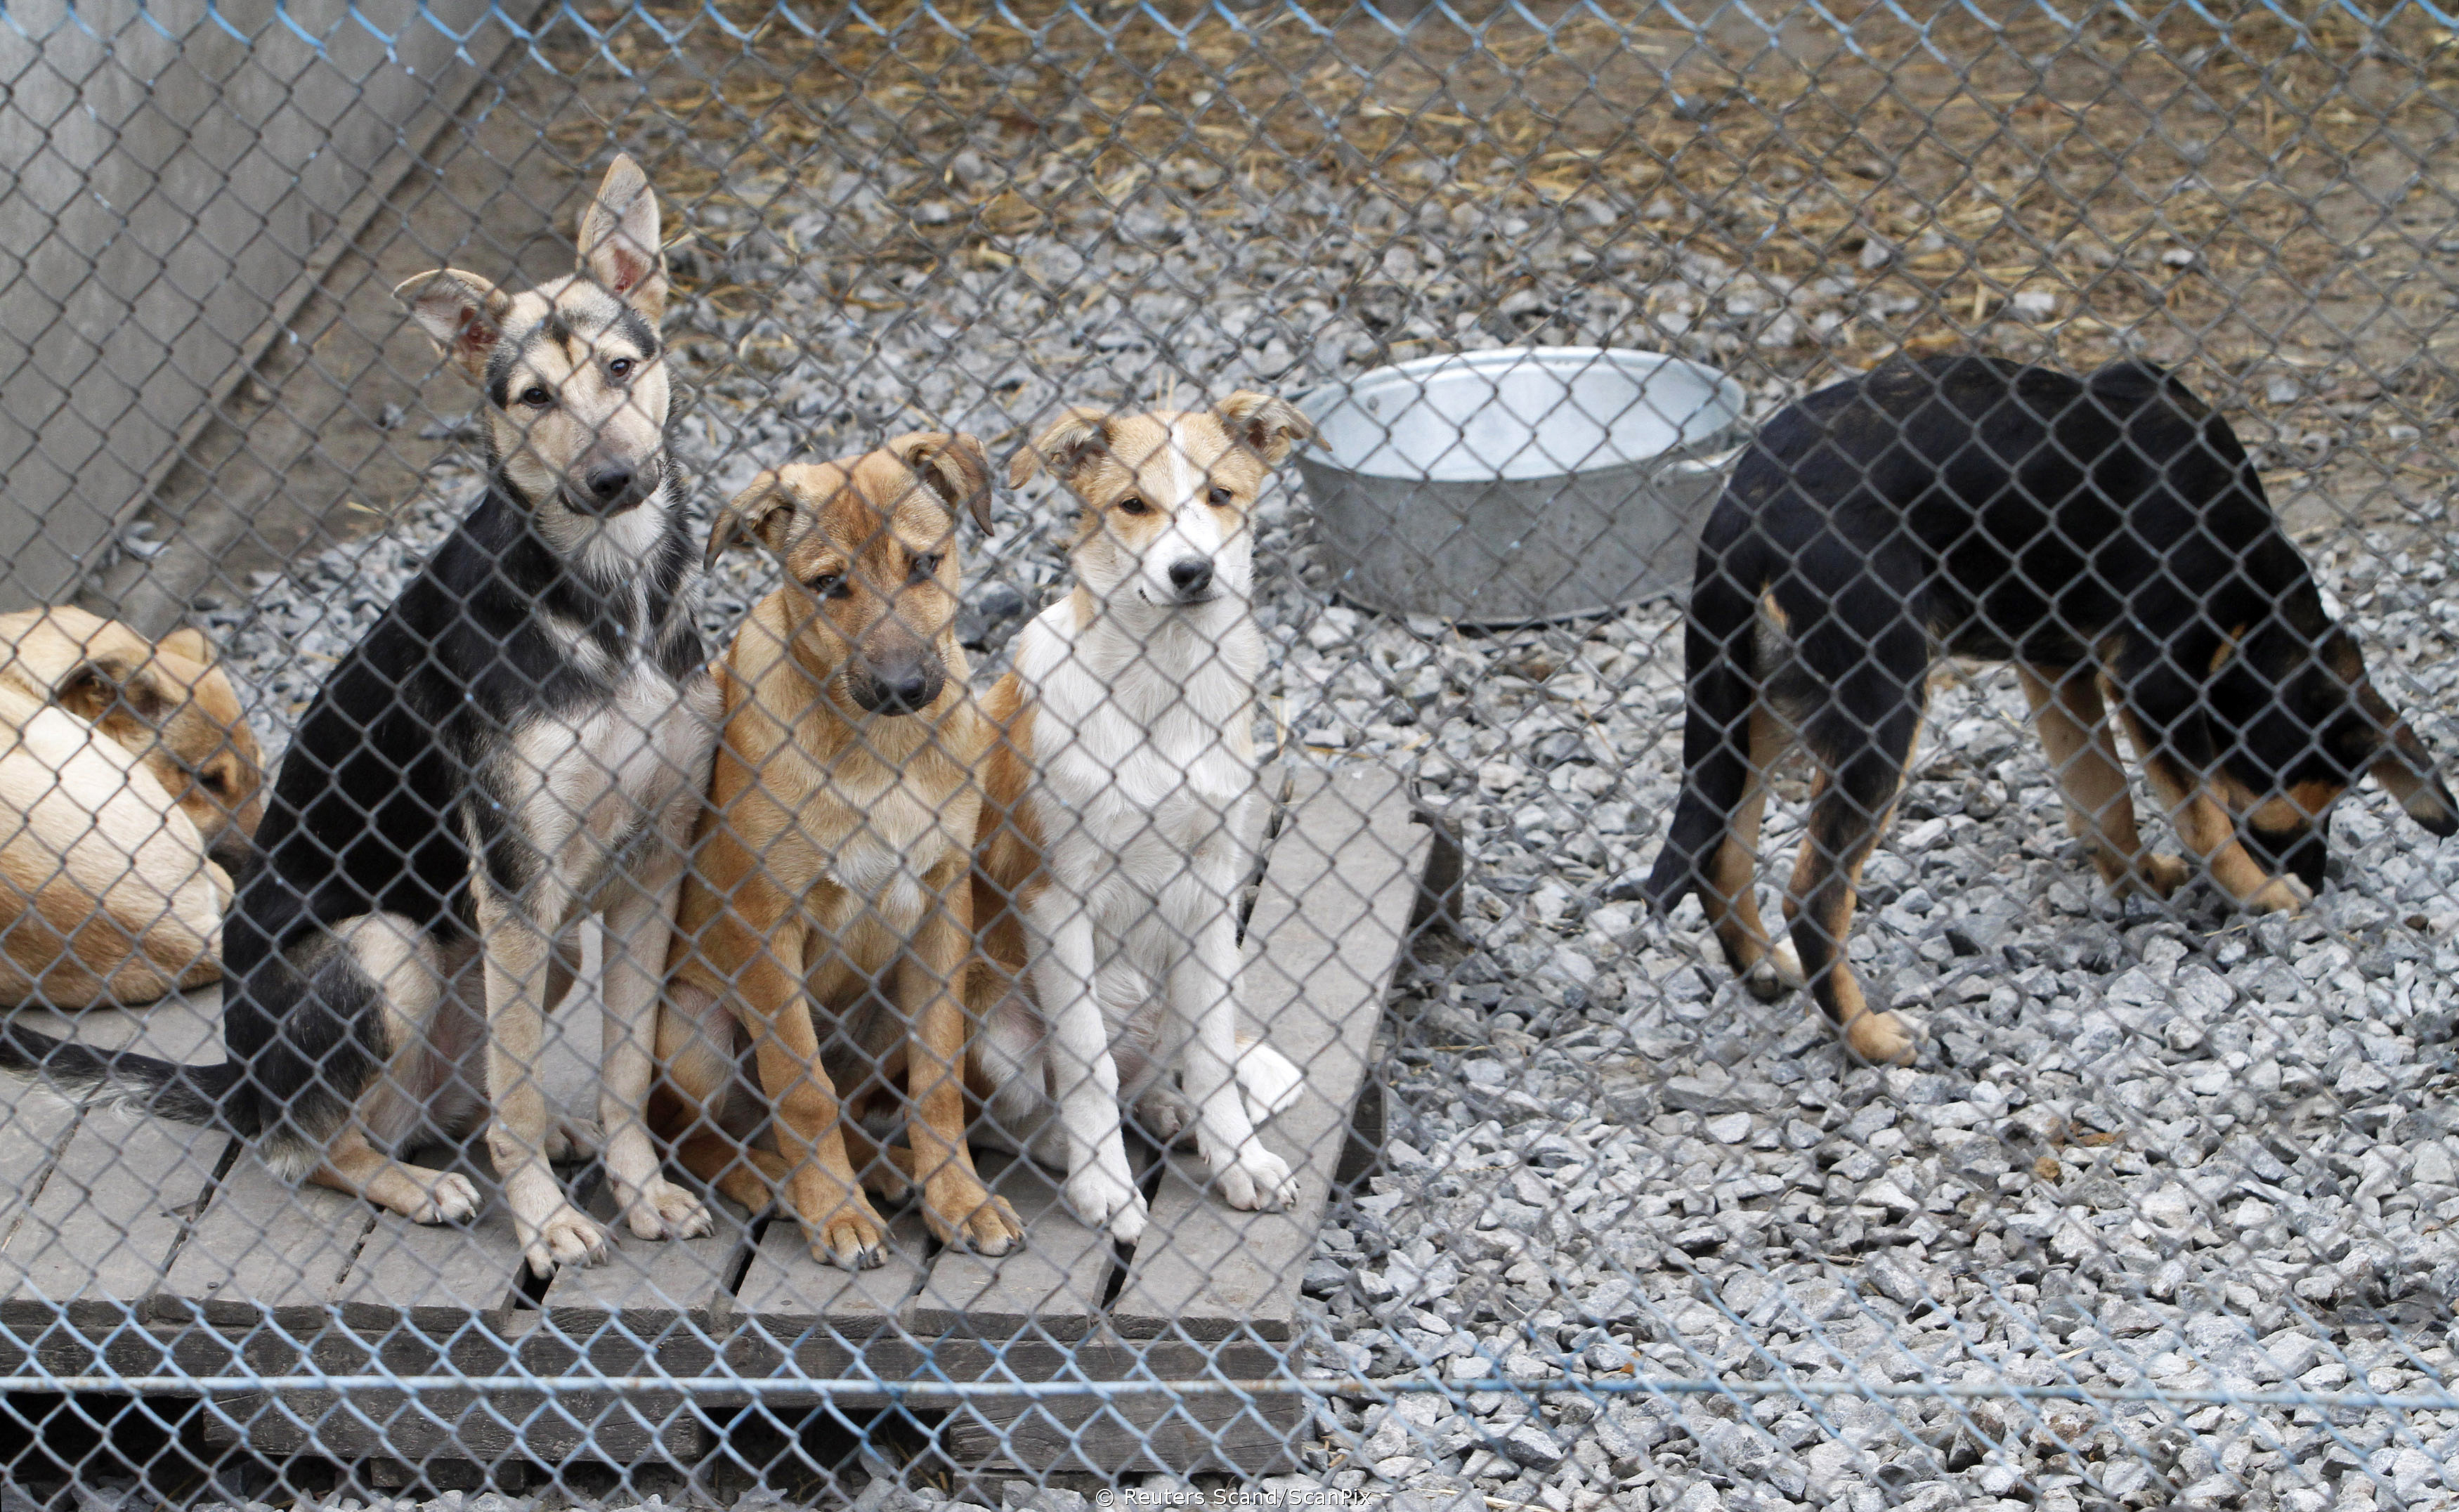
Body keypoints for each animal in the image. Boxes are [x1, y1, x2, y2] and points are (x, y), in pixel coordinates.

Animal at [649, 432, 1023, 1268]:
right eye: (828, 585)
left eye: (924, 563)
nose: (903, 687)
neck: (878, 751)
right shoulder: (766, 925)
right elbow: (802, 1086)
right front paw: (835, 1212)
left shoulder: (943, 906)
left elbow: (937, 1079)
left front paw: (959, 1199)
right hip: (692, 1024)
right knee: (692, 1134)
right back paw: (772, 1178)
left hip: (882, 1009)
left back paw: (884, 1166)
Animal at [969, 391, 1318, 1244]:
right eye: (1133, 505)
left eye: (1219, 495)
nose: (1190, 572)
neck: (1165, 686)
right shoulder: (1054, 900)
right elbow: (1085, 1060)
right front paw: (1103, 1184)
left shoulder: (1210, 894)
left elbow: (1215, 1052)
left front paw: (1240, 1159)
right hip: (992, 1031)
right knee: (1012, 1117)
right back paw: (1069, 1150)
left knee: (1166, 1063)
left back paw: (1171, 1109)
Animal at [1652, 353, 2459, 1067]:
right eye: (2297, 813)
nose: (2320, 882)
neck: (2254, 613)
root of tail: (1746, 505)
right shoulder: (2153, 681)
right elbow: (2200, 813)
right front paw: (2258, 891)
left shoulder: (2056, 665)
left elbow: (2103, 798)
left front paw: (2142, 879)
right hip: (1880, 700)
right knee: (1813, 895)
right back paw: (1869, 1038)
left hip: (1757, 704)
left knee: (1721, 851)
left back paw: (1761, 968)